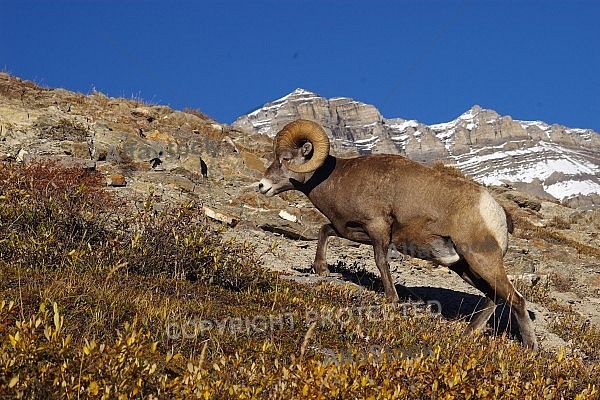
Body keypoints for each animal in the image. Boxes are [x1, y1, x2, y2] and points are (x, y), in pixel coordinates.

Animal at [255, 119, 536, 350]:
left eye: (286, 158)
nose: (262, 186)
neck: (338, 179)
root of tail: (496, 211)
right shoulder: (354, 230)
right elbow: (324, 230)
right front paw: (322, 269)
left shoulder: (378, 228)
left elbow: (381, 262)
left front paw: (391, 300)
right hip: (464, 267)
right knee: (494, 297)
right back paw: (468, 334)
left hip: (482, 261)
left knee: (517, 300)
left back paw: (530, 349)